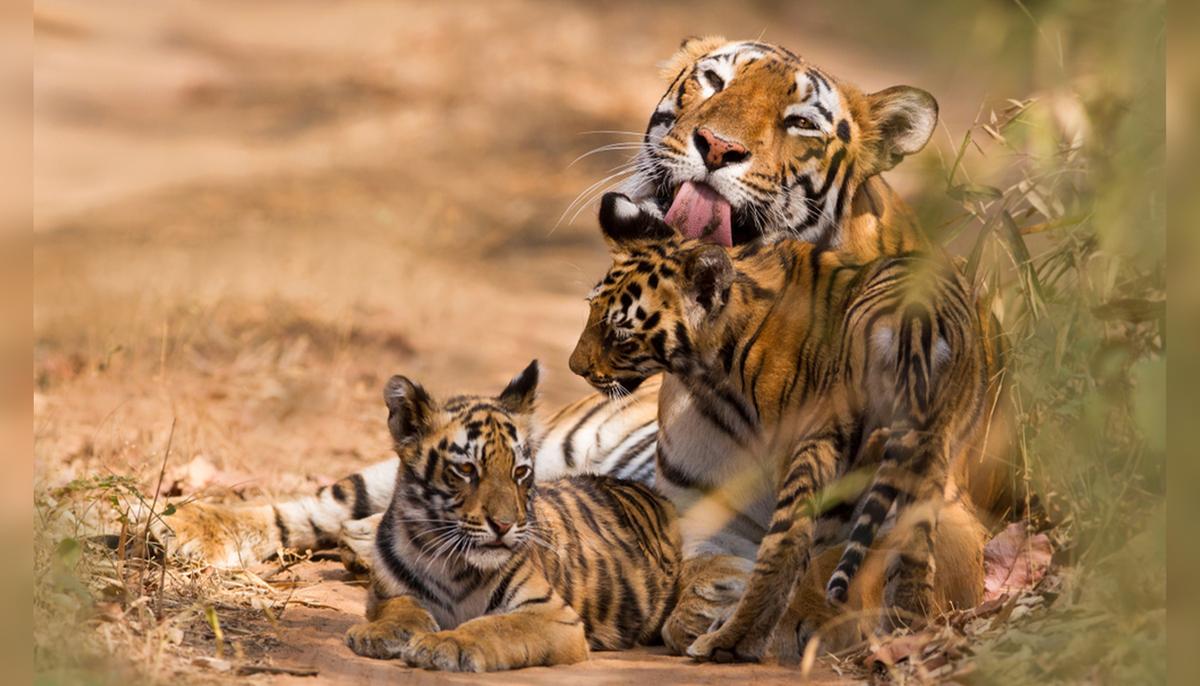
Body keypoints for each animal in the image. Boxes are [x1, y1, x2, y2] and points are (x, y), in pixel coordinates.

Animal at [345, 360, 681, 672]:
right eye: (466, 469)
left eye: (519, 472)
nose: (503, 525)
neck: (448, 563)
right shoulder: (386, 593)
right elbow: (401, 608)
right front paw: (376, 633)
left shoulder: (552, 614)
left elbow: (494, 626)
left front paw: (445, 643)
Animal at [569, 193, 990, 661]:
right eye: (590, 311)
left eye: (621, 336)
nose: (575, 366)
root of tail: (914, 321)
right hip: (926, 450)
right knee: (913, 547)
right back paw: (906, 629)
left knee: (789, 549)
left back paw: (730, 642)